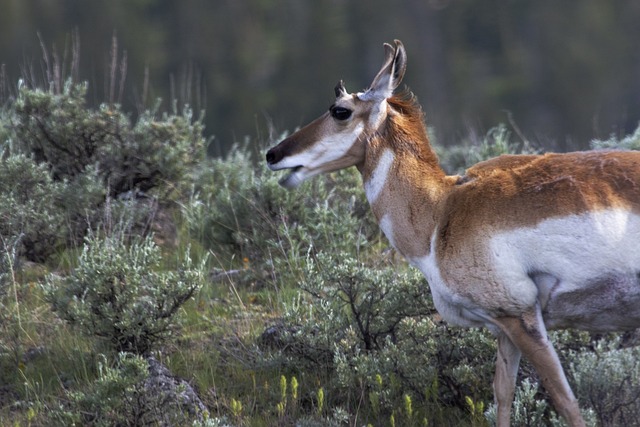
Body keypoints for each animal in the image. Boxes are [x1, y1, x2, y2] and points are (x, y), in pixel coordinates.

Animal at [264, 39, 640, 424]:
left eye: (340, 111)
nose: (272, 154)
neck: (441, 211)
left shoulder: (521, 317)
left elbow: (566, 402)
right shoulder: (504, 327)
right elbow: (502, 395)